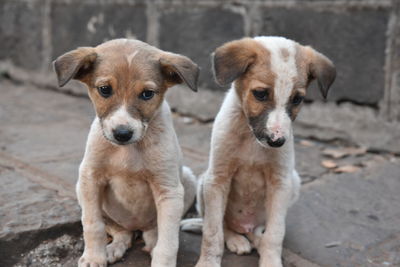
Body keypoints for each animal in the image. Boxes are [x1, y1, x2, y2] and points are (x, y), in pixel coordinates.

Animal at [53, 39, 200, 267]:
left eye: (147, 94)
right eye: (105, 90)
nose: (122, 133)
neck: (128, 150)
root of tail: (136, 227)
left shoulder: (168, 189)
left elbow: (168, 242)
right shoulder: (90, 177)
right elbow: (93, 225)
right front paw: (94, 257)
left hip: (187, 180)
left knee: (154, 232)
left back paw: (149, 242)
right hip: (82, 191)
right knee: (120, 232)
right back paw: (113, 248)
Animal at [192, 36, 336, 267]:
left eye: (297, 99)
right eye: (260, 94)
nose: (277, 141)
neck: (252, 139)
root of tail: (245, 225)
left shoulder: (280, 182)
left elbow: (275, 234)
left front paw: (271, 260)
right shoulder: (218, 178)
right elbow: (213, 232)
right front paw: (207, 263)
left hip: (293, 182)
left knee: (260, 231)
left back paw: (255, 240)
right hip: (204, 182)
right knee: (224, 225)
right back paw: (237, 240)